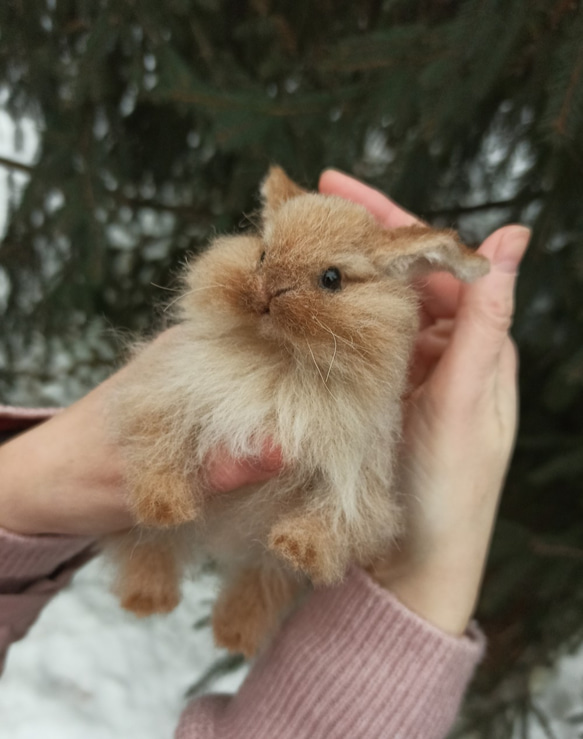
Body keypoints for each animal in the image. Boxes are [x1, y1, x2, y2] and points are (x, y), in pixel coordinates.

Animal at [107, 168, 490, 660]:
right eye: (263, 253)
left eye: (331, 278)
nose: (268, 290)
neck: (284, 359)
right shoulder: (169, 397)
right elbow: (162, 451)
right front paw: (166, 504)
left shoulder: (355, 478)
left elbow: (334, 515)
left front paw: (298, 546)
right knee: (150, 545)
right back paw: (147, 599)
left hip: (263, 564)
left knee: (260, 584)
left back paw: (235, 637)